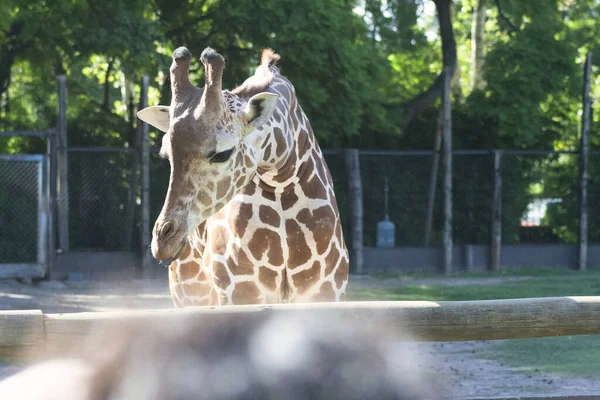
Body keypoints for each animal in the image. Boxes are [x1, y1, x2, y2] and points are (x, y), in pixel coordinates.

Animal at [138, 45, 350, 304]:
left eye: (222, 153)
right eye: (166, 154)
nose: (163, 240)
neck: (281, 181)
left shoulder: (325, 290)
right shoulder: (239, 291)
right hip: (189, 293)